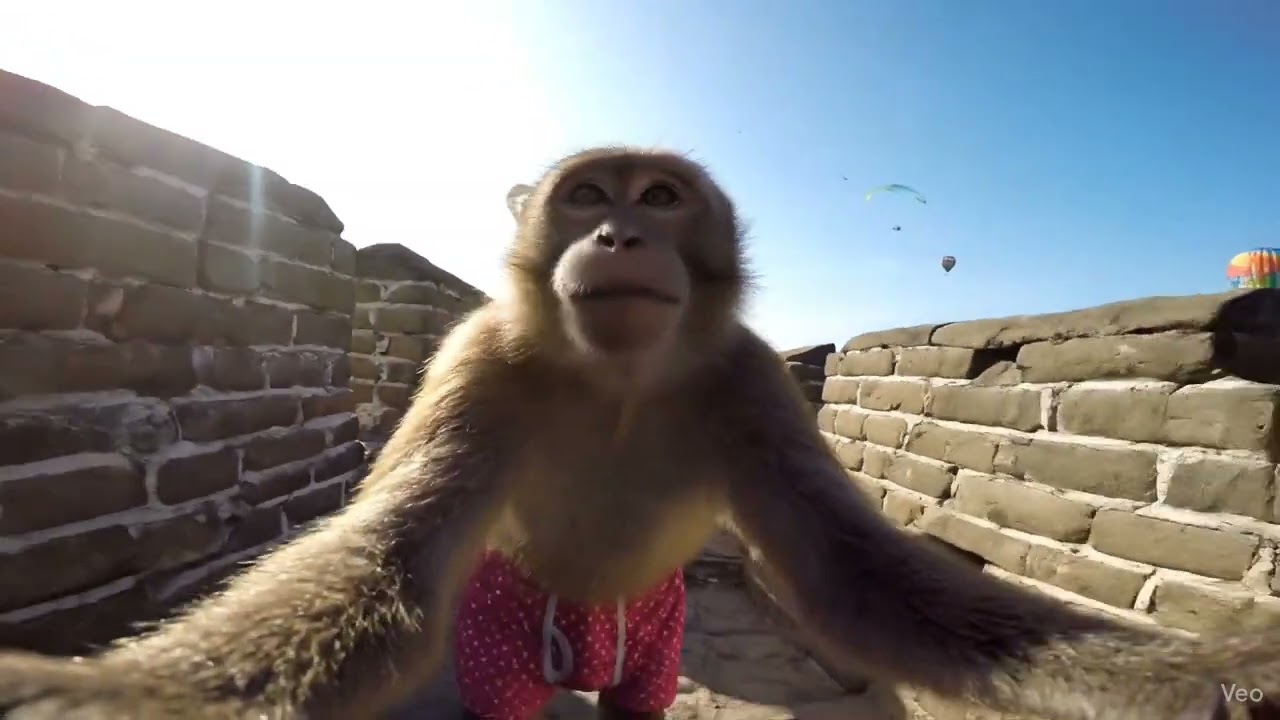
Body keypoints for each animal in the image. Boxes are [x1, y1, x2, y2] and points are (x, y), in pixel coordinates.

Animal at [2, 146, 1280, 720]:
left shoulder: (751, 383)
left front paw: (1214, 679)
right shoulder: (475, 363)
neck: (617, 383)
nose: (617, 233)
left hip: (648, 637)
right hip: (515, 628)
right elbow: (386, 566)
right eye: (586, 195)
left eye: (659, 199)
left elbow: (856, 582)